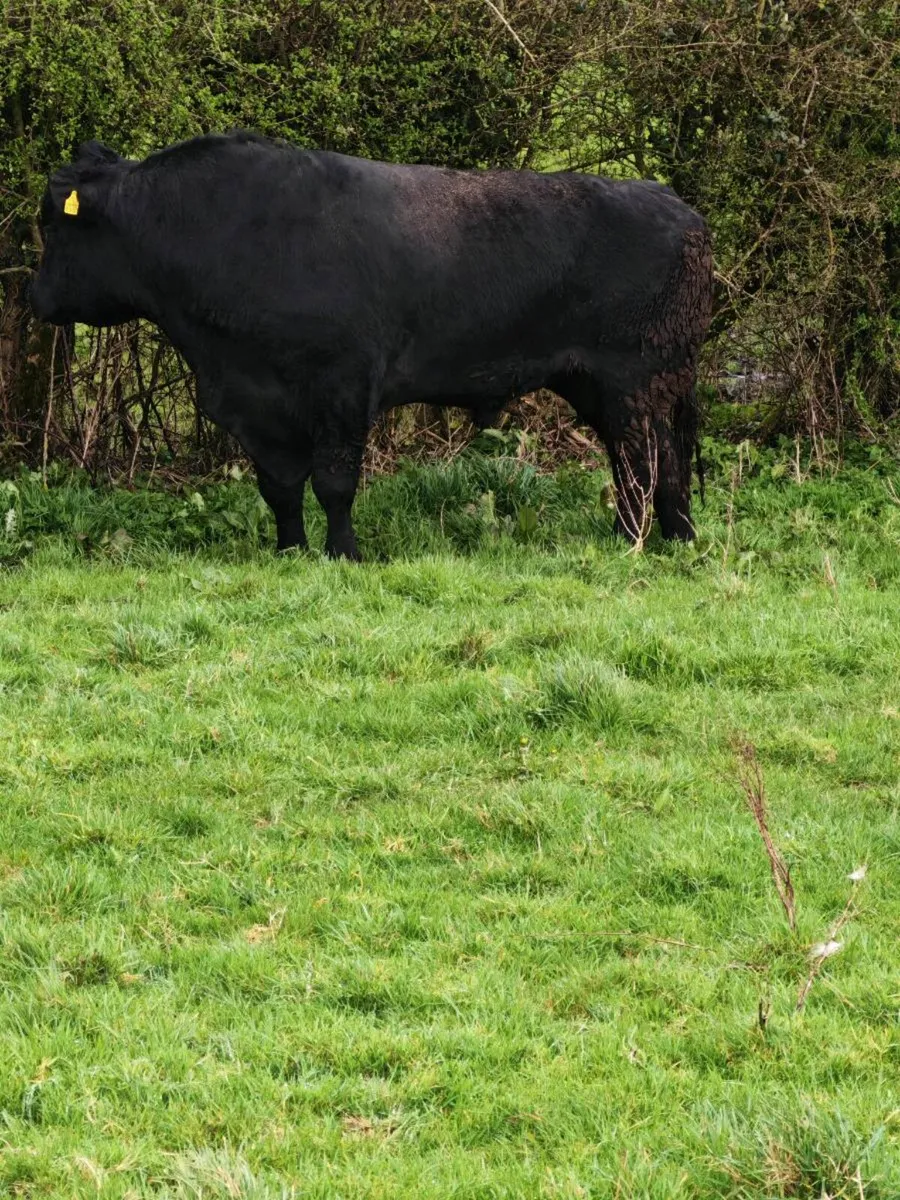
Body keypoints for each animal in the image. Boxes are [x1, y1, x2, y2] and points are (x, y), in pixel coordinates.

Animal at [31, 133, 713, 559]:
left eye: (51, 225)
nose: (35, 298)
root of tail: (674, 204)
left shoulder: (342, 385)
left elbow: (335, 481)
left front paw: (345, 553)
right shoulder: (255, 405)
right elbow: (280, 487)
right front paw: (290, 549)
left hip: (636, 381)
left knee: (648, 461)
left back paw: (646, 539)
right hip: (609, 386)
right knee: (648, 463)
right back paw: (659, 536)